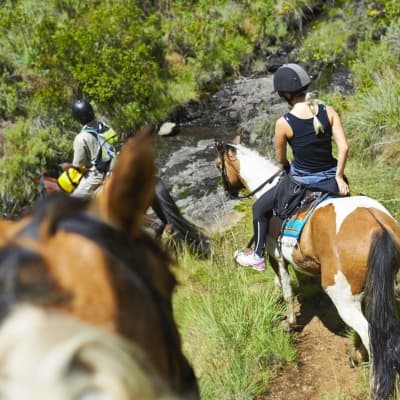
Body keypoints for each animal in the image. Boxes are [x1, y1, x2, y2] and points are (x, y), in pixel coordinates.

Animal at [217, 138, 400, 400]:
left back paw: (373, 382)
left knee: (370, 334)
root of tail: (378, 226)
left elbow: (286, 290)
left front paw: (289, 323)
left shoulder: (275, 256)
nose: (226, 192)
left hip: (343, 298)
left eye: (218, 165)